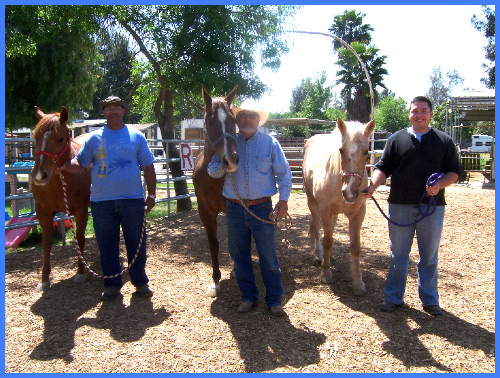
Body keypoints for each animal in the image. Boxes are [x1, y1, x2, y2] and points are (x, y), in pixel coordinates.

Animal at [31, 107, 91, 292]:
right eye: (35, 137)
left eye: (60, 138)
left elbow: (80, 238)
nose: (39, 175)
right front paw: (44, 280)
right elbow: (46, 243)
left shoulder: (81, 210)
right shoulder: (42, 212)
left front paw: (80, 273)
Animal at [300, 117, 376, 296]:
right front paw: (326, 274)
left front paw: (358, 282)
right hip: (313, 205)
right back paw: (319, 256)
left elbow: (355, 247)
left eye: (366, 152)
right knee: (317, 229)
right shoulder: (325, 211)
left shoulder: (358, 214)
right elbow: (327, 241)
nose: (350, 193)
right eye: (341, 150)